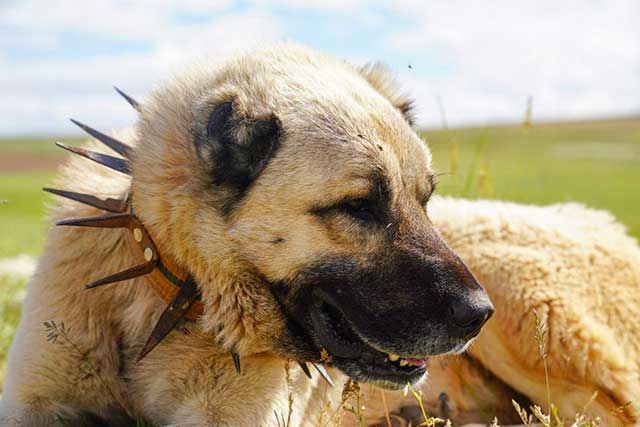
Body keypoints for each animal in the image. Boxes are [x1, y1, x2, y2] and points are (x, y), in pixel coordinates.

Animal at [2, 44, 636, 427]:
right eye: (360, 206)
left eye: (425, 199)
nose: (476, 315)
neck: (175, 295)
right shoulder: (36, 402)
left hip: (528, 312)